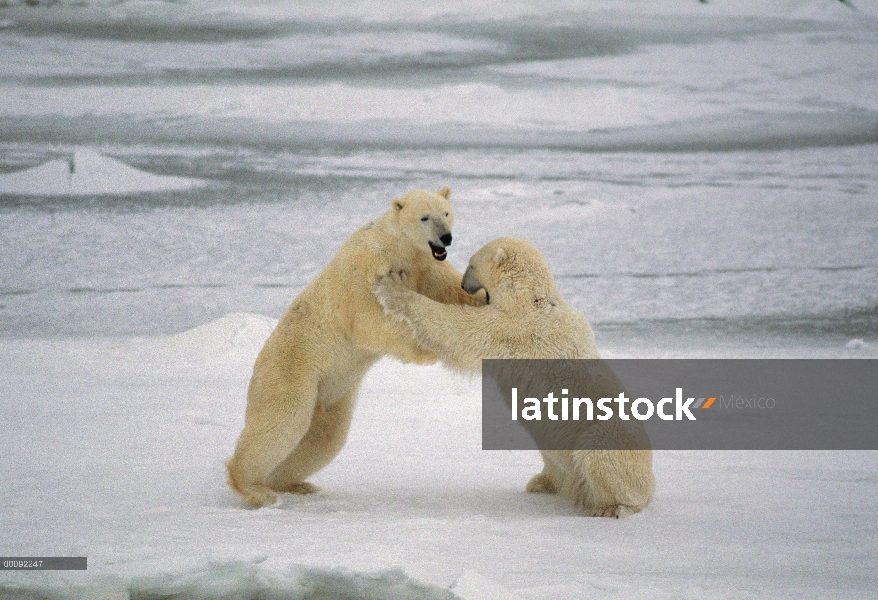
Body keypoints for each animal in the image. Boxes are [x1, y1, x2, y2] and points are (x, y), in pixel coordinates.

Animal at [227, 186, 484, 506]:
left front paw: (483, 296)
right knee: (283, 421)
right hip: (291, 371)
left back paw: (294, 484)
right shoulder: (365, 270)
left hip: (333, 392)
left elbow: (450, 289)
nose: (446, 237)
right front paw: (422, 350)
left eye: (446, 212)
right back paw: (254, 488)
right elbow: (366, 318)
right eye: (425, 217)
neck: (398, 247)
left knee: (325, 438)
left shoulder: (425, 266)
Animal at [374, 237, 656, 516]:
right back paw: (542, 482)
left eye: (471, 264)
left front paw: (392, 286)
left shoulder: (516, 329)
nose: (464, 285)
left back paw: (614, 506)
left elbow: (459, 330)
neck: (531, 298)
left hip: (607, 433)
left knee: (603, 453)